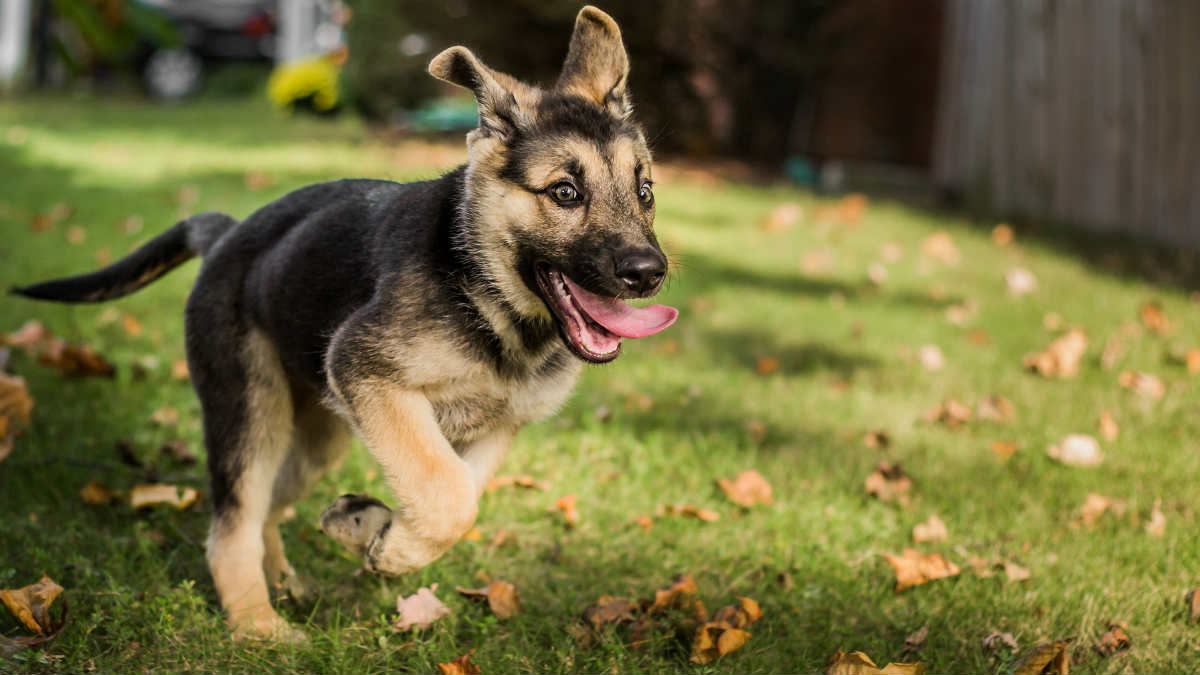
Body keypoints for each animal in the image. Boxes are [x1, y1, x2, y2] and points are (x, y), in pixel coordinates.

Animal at [14, 3, 676, 634]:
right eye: (565, 192)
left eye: (645, 191)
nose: (649, 272)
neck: (485, 292)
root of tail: (228, 234)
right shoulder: (367, 369)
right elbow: (448, 494)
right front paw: (391, 549)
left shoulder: (496, 426)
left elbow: (458, 492)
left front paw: (378, 532)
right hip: (251, 411)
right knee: (232, 525)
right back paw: (260, 627)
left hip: (317, 433)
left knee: (270, 509)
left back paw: (288, 580)